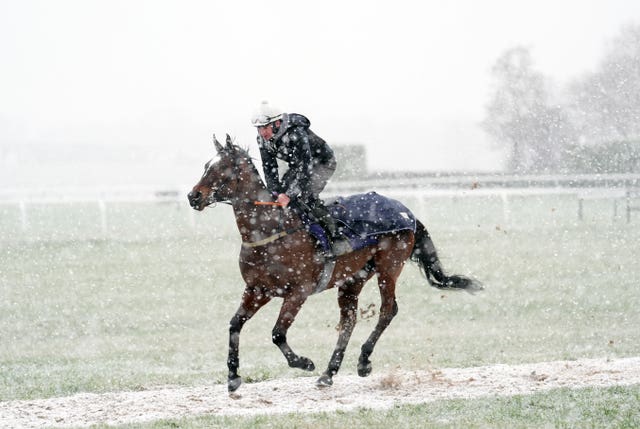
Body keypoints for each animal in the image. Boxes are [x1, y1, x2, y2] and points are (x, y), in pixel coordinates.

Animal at [185, 134, 480, 392]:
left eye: (223, 169)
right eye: (206, 165)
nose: (193, 196)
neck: (269, 230)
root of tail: (407, 212)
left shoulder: (298, 291)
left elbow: (277, 333)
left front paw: (304, 363)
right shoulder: (257, 290)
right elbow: (235, 325)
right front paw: (233, 377)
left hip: (389, 267)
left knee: (388, 310)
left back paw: (363, 361)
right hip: (353, 278)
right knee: (349, 320)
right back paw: (329, 373)